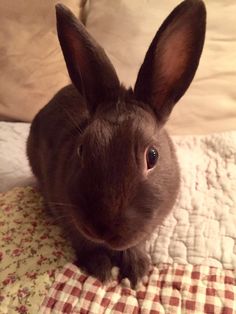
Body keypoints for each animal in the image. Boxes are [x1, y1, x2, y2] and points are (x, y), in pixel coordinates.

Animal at [26, 0, 206, 288]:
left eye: (152, 156)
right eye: (81, 150)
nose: (102, 228)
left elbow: (134, 245)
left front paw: (136, 271)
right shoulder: (70, 217)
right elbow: (85, 243)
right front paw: (101, 268)